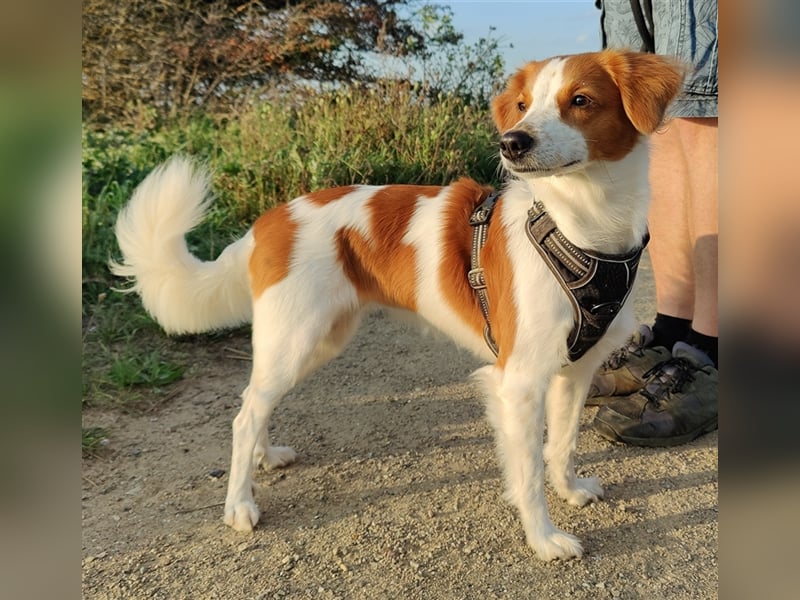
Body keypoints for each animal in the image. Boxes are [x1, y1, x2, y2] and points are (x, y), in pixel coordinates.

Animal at [114, 49, 680, 560]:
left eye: (580, 100)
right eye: (522, 106)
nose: (511, 142)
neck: (582, 224)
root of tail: (270, 220)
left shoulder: (573, 370)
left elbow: (561, 445)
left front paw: (569, 490)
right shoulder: (518, 380)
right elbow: (528, 472)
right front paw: (543, 539)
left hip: (317, 341)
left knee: (256, 400)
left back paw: (265, 455)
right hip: (295, 337)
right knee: (245, 412)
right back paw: (239, 504)